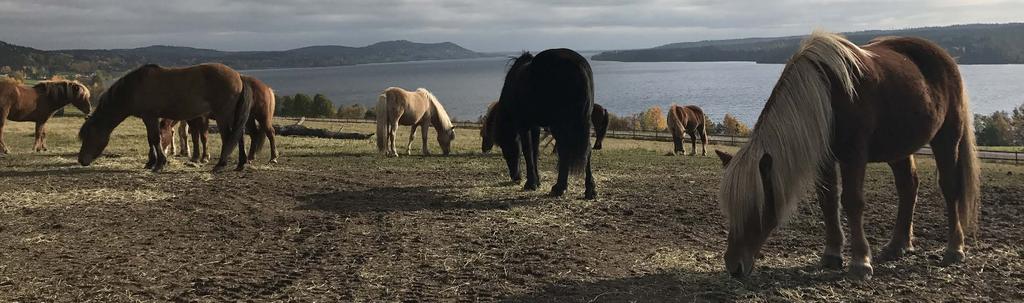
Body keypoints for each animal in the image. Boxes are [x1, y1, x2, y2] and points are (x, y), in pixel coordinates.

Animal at [75, 63, 251, 172]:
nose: (81, 160)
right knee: (239, 135)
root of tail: (239, 76)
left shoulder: (150, 116)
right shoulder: (147, 118)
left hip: (223, 115)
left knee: (228, 136)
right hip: (232, 115)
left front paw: (159, 163)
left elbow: (154, 138)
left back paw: (221, 164)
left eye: (89, 136)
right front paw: (151, 162)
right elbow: (150, 139)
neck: (134, 88)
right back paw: (241, 164)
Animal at [489, 48, 598, 199]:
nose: (515, 177)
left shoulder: (523, 125)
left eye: (506, 149)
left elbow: (527, 151)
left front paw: (530, 183)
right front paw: (537, 180)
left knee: (564, 151)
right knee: (586, 150)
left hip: (560, 125)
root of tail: (579, 64)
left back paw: (559, 188)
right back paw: (589, 190)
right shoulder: (535, 127)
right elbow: (535, 152)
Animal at [716, 31, 978, 280]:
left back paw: (954, 249)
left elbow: (852, 201)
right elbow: (828, 201)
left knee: (949, 188)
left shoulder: (854, 156)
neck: (827, 96)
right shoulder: (824, 159)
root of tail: (945, 57)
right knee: (908, 187)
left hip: (947, 138)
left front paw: (860, 262)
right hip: (899, 147)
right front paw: (832, 254)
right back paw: (898, 246)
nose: (733, 266)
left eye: (756, 206)